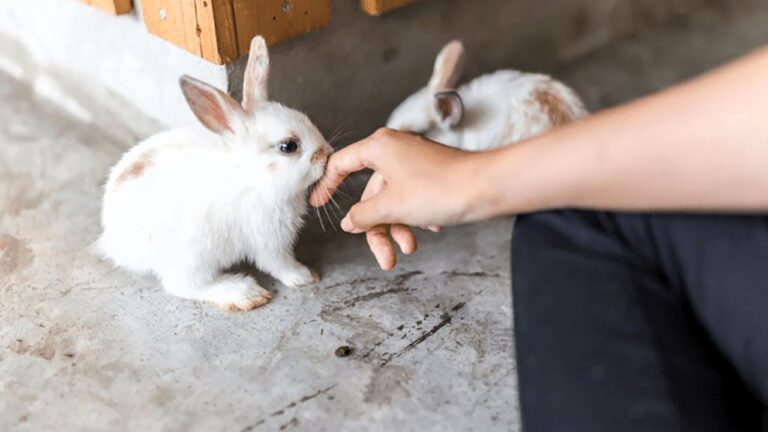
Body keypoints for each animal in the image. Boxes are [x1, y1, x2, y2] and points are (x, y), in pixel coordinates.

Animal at [97, 36, 332, 312]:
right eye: (288, 146)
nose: (327, 153)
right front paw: (305, 276)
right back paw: (244, 293)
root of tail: (115, 238)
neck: (254, 176)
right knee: (184, 286)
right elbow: (278, 264)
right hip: (193, 255)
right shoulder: (268, 239)